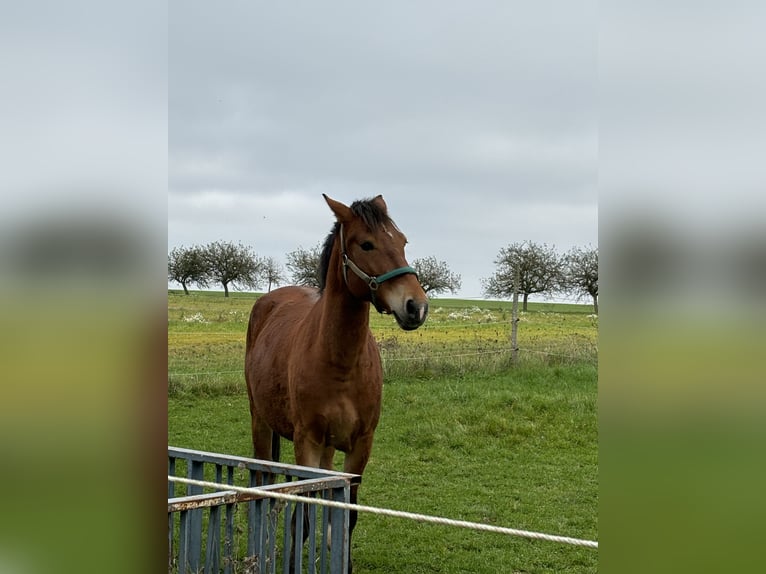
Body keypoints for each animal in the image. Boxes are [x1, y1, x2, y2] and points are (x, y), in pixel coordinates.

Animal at [244, 194, 428, 572]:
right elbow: (303, 515)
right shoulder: (307, 444)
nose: (416, 306)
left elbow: (346, 514)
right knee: (264, 487)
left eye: (402, 242)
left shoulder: (360, 446)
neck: (340, 362)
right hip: (261, 423)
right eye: (366, 244)